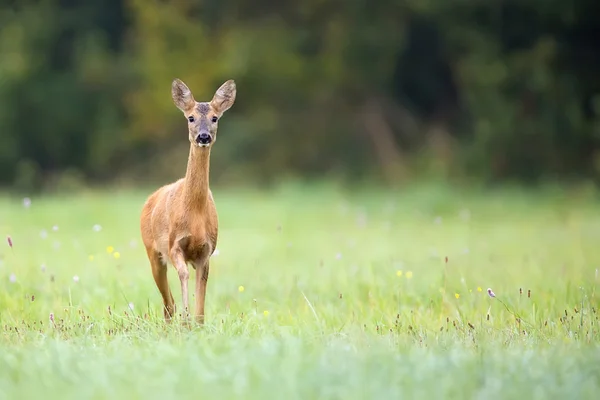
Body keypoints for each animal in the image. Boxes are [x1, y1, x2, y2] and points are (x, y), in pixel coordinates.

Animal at [139, 79, 236, 324]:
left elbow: (201, 290)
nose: (203, 136)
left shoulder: (207, 249)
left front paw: (196, 322)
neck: (194, 213)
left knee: (168, 303)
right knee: (167, 302)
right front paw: (186, 319)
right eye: (190, 118)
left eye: (215, 118)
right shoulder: (174, 244)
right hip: (152, 251)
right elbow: (183, 275)